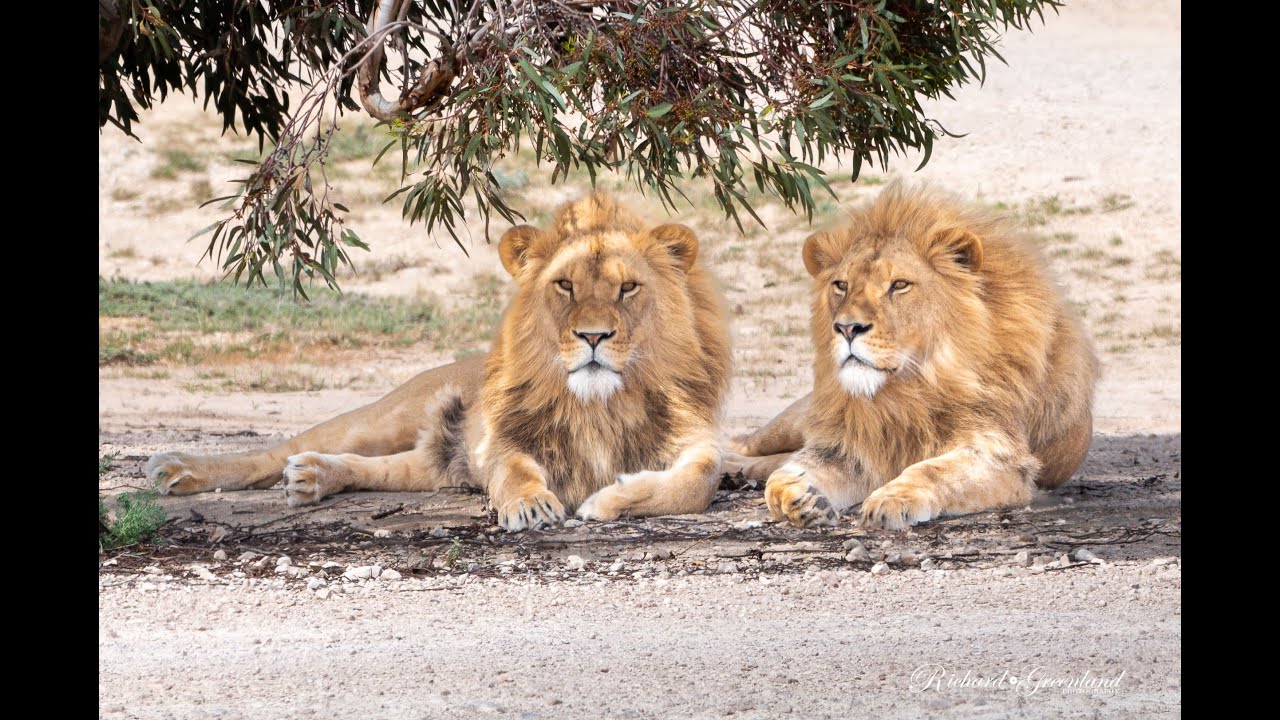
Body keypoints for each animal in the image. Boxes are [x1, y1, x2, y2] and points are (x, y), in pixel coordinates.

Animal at [144, 192, 732, 531]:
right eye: (564, 285)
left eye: (628, 288)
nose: (592, 335)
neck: (603, 402)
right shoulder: (504, 441)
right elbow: (516, 470)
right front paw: (531, 506)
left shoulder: (694, 439)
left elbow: (697, 480)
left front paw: (608, 500)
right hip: (384, 416)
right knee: (276, 451)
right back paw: (178, 469)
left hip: (436, 466)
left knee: (376, 470)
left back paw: (314, 478)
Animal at [728, 184, 1100, 530]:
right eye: (841, 285)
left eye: (900, 285)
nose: (847, 328)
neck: (910, 388)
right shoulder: (848, 445)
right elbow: (781, 479)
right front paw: (799, 496)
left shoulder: (1001, 457)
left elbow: (932, 471)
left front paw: (893, 499)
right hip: (793, 421)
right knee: (747, 445)